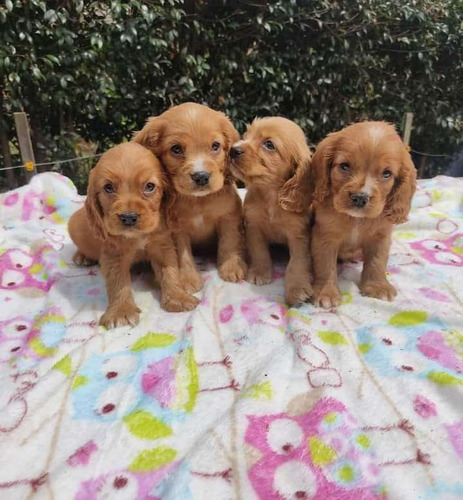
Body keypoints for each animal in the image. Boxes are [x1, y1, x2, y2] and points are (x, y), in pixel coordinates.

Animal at [69, 142, 199, 328]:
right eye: (108, 187)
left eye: (149, 187)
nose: (129, 217)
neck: (137, 237)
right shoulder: (113, 254)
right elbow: (118, 282)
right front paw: (121, 311)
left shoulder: (162, 245)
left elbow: (170, 270)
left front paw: (178, 297)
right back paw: (82, 256)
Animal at [132, 103, 248, 292]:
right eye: (176, 149)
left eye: (215, 146)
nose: (201, 176)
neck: (198, 200)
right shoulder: (176, 229)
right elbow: (183, 254)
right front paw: (187, 279)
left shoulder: (228, 216)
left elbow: (229, 242)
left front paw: (232, 267)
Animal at [230, 117, 314, 304]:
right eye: (246, 136)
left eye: (269, 144)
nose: (233, 150)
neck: (270, 195)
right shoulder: (254, 227)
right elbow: (259, 251)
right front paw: (260, 273)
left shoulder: (298, 235)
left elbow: (296, 263)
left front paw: (297, 289)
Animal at [312, 121, 416, 308]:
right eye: (345, 166)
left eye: (386, 173)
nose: (360, 197)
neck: (356, 219)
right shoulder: (325, 236)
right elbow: (325, 265)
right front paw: (326, 293)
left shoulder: (380, 237)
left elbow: (377, 261)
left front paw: (377, 287)